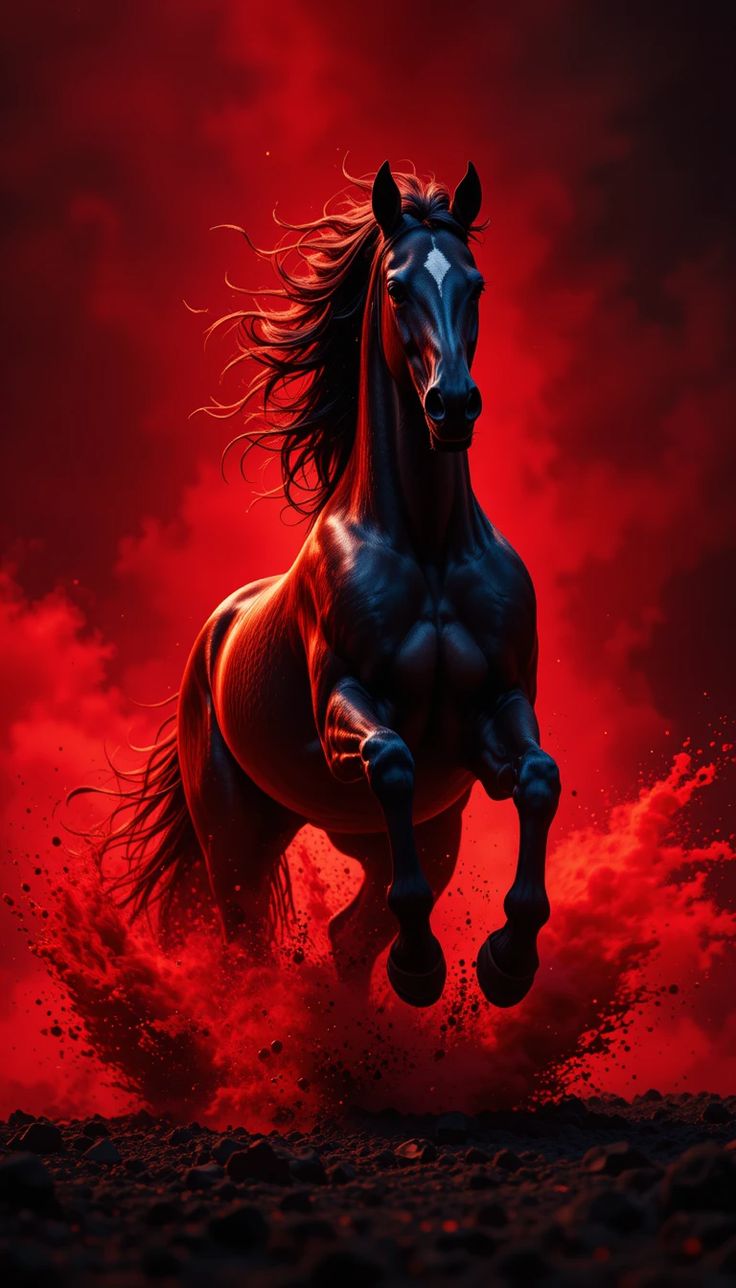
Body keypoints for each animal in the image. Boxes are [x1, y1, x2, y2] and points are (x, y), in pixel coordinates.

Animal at [83, 162, 561, 1010]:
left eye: (474, 283)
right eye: (399, 287)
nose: (453, 405)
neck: (429, 550)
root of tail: (214, 633)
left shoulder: (498, 712)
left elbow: (539, 777)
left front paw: (507, 963)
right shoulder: (348, 710)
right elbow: (393, 760)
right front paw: (423, 963)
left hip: (418, 833)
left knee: (349, 936)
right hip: (238, 841)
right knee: (253, 942)